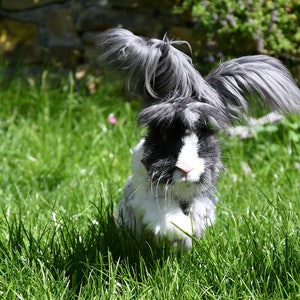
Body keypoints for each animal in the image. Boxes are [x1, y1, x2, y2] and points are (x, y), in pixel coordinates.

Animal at [96, 28, 300, 248]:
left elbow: (197, 215)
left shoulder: (201, 199)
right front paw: (181, 232)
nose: (186, 169)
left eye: (204, 135)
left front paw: (190, 236)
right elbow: (168, 216)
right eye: (165, 135)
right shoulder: (150, 195)